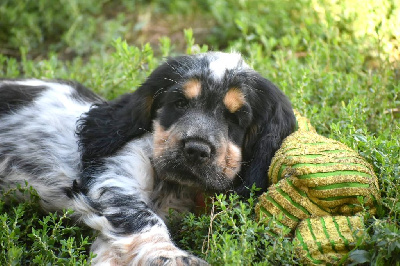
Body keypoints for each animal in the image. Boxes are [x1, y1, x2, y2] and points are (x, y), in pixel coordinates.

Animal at [0, 52, 296, 264]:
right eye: (179, 103)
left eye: (236, 119)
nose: (195, 149)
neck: (175, 189)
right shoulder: (115, 177)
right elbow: (143, 218)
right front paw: (175, 257)